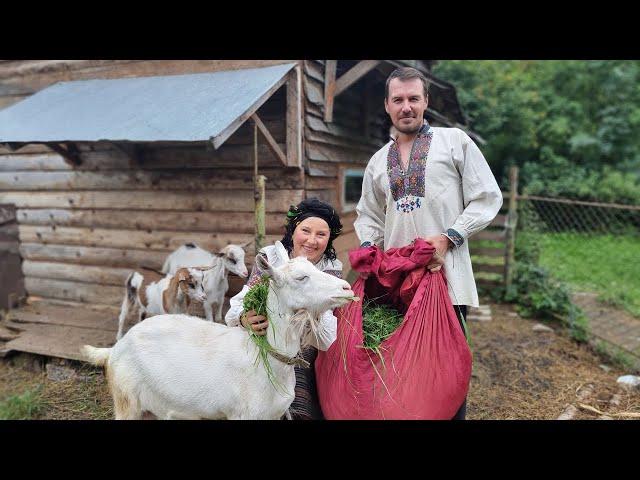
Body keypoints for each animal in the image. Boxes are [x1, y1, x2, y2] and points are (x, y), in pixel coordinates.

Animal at [81, 242, 356, 418]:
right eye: (301, 277)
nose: (346, 288)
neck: (265, 359)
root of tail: (113, 350)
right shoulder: (244, 415)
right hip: (126, 402)